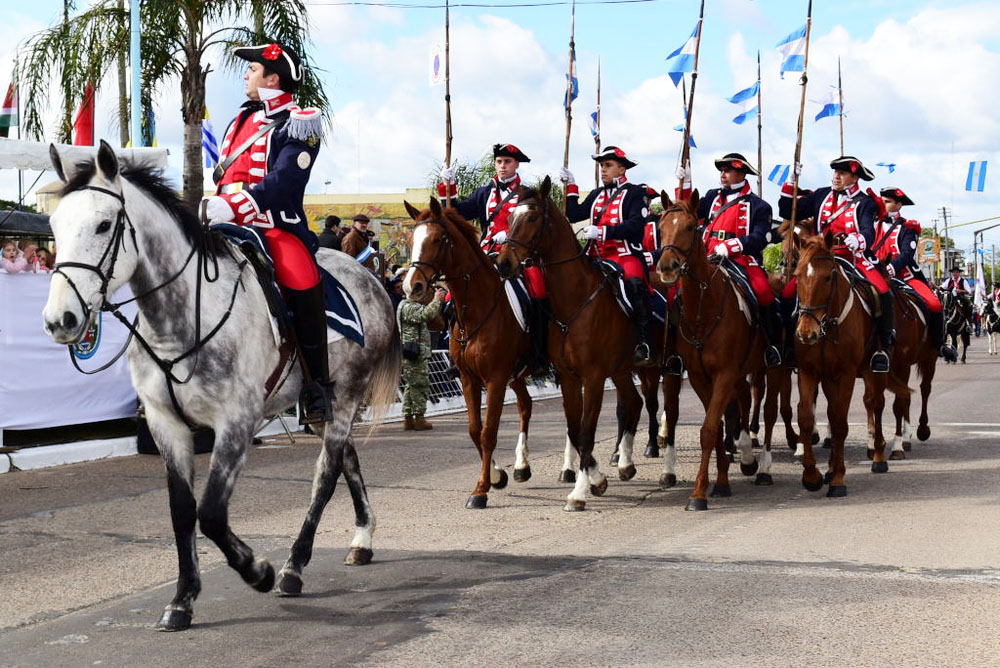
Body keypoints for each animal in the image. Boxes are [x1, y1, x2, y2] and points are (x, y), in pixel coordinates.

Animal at [42, 141, 402, 632]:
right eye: (54, 226)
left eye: (103, 224)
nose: (60, 320)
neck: (184, 320)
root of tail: (371, 279)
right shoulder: (166, 424)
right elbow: (182, 511)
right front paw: (182, 599)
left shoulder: (235, 422)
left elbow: (211, 513)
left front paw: (258, 570)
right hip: (326, 401)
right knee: (346, 458)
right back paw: (361, 538)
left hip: (347, 394)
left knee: (325, 474)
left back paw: (293, 566)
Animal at [402, 197, 536, 506]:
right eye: (412, 239)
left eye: (437, 239)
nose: (412, 287)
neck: (476, 309)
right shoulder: (469, 379)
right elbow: (475, 430)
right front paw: (496, 476)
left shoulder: (495, 379)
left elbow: (489, 432)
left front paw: (481, 490)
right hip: (517, 375)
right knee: (525, 405)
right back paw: (521, 466)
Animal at [496, 177, 644, 512]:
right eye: (509, 218)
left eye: (532, 217)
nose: (503, 263)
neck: (575, 301)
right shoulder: (568, 377)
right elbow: (575, 430)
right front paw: (595, 480)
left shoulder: (594, 376)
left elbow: (587, 432)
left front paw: (580, 492)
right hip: (621, 369)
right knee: (634, 402)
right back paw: (625, 463)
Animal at [652, 190, 776, 508]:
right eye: (661, 227)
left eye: (690, 227)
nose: (667, 268)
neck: (703, 309)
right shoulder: (699, 376)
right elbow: (716, 426)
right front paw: (719, 482)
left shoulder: (724, 373)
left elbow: (709, 429)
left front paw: (699, 494)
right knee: (742, 402)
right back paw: (746, 456)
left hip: (770, 369)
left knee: (768, 411)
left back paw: (762, 468)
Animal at [792, 232, 912, 494]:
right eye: (796, 275)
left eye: (828, 277)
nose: (806, 333)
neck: (827, 325)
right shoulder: (809, 372)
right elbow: (807, 418)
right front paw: (812, 475)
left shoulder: (845, 374)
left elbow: (840, 422)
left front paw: (838, 479)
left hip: (874, 370)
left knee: (876, 403)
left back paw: (878, 457)